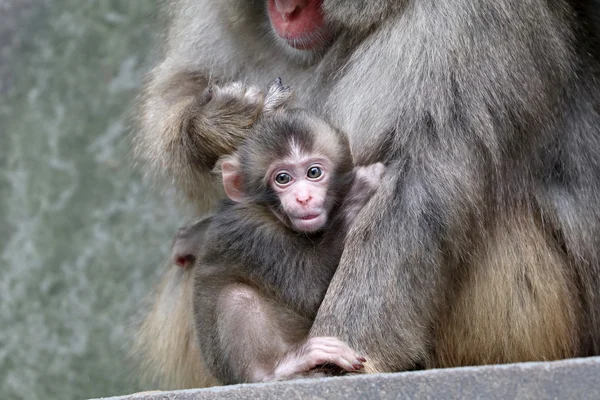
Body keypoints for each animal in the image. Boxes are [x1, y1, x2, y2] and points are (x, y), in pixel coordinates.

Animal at [171, 81, 384, 384]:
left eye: (314, 172)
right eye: (283, 178)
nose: (303, 198)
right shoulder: (255, 235)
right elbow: (309, 291)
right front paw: (360, 187)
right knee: (237, 297)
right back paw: (276, 369)